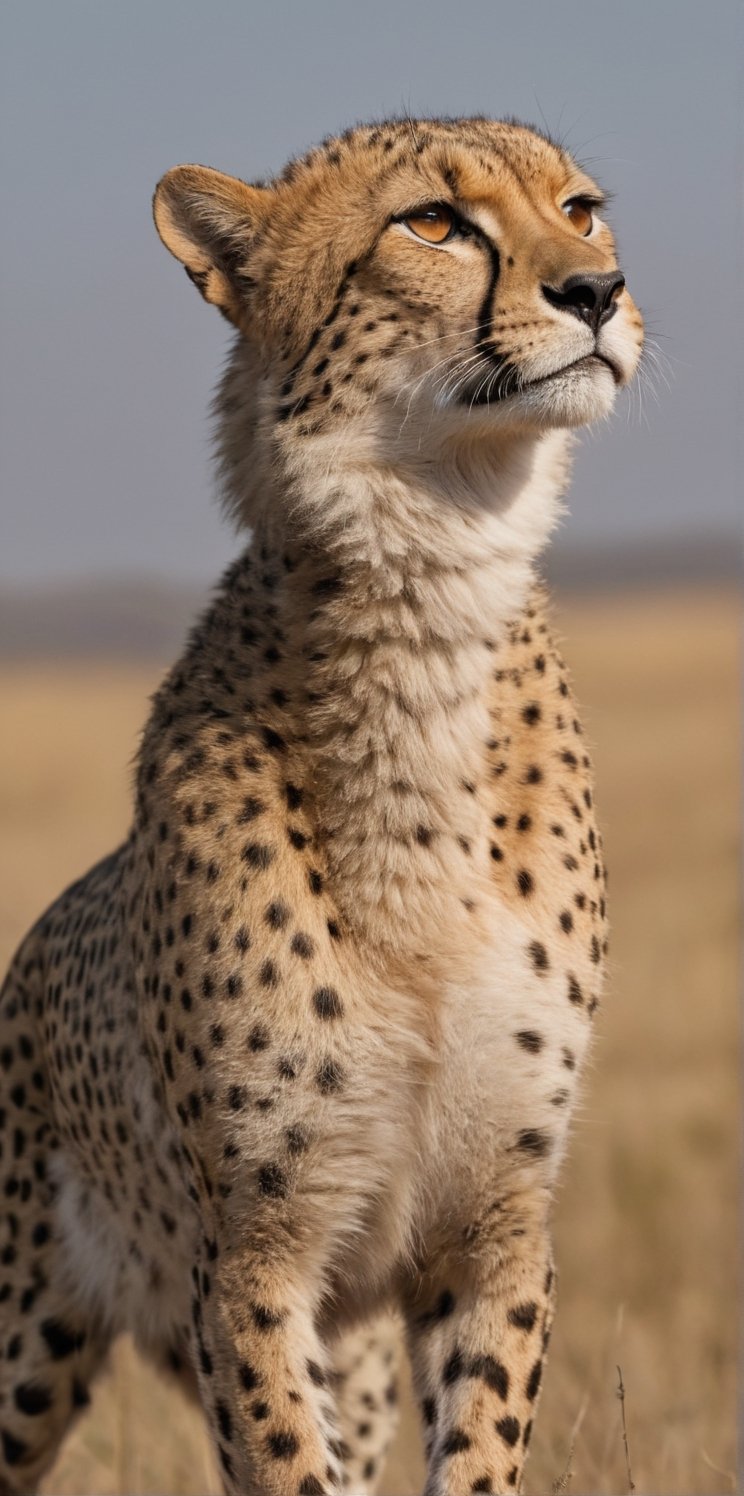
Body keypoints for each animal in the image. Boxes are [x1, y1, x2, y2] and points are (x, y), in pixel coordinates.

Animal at [0, 116, 637, 1496]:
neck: (429, 611)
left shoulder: (491, 1229)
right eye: (434, 223)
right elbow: (290, 1462)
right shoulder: (250, 1254)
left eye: (581, 209)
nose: (599, 290)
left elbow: (476, 1448)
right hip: (25, 1336)